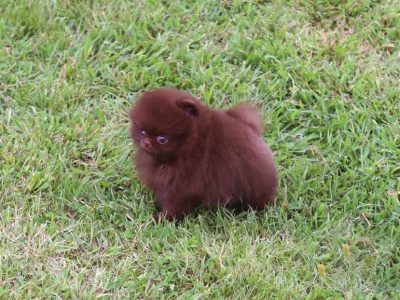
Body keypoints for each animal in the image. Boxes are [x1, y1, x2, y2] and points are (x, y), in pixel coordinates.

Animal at [129, 86, 278, 220]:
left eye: (162, 139)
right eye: (142, 132)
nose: (146, 142)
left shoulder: (181, 186)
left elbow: (175, 205)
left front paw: (161, 218)